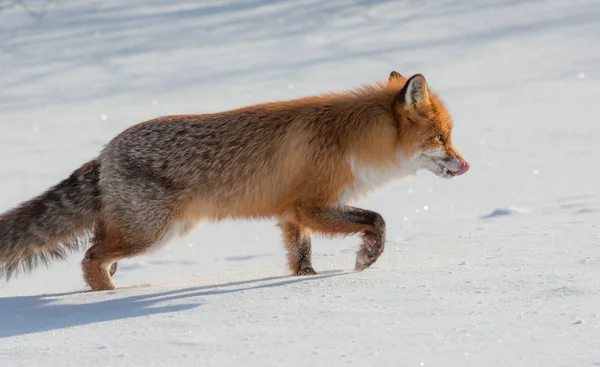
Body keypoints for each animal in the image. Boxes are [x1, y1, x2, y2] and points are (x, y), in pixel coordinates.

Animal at [0, 71, 468, 290]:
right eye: (441, 138)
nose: (466, 167)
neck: (350, 141)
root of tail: (104, 153)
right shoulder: (310, 206)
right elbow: (378, 220)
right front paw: (366, 258)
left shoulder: (289, 214)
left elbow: (300, 256)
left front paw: (304, 282)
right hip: (152, 235)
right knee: (90, 258)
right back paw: (109, 299)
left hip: (144, 232)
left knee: (97, 253)